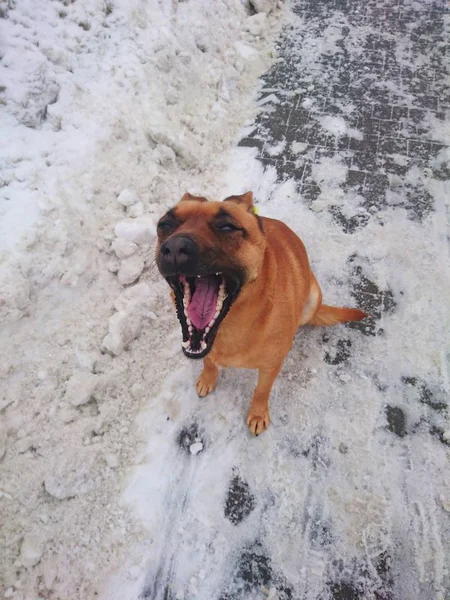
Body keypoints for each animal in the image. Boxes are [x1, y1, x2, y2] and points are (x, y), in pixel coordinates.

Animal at [156, 193, 368, 436]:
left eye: (227, 226)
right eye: (164, 225)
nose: (174, 248)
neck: (230, 326)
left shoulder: (271, 366)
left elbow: (261, 390)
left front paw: (257, 414)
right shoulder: (207, 350)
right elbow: (208, 362)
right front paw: (207, 379)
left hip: (312, 298)